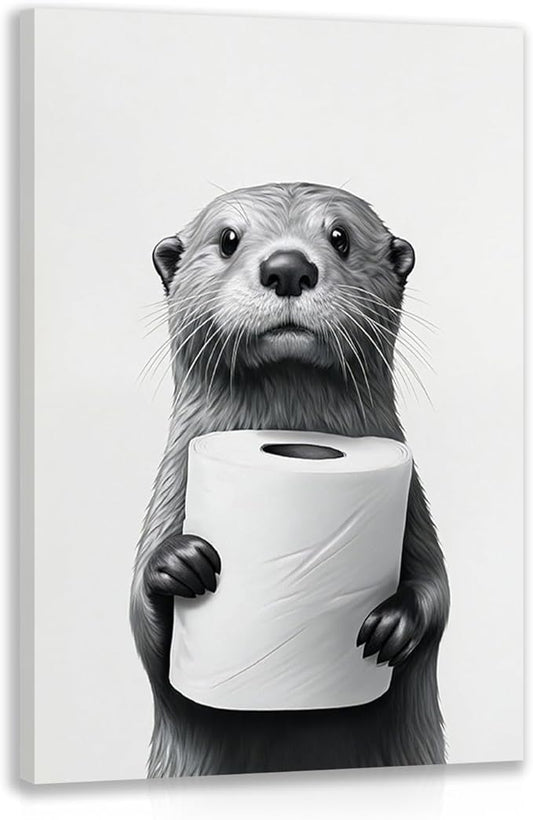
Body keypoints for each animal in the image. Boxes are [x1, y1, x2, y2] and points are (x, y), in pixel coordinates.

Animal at [130, 182, 449, 777]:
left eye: (340, 236)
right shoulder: (170, 491)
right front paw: (177, 563)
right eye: (228, 238)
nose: (288, 267)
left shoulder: (414, 505)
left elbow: (438, 592)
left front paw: (394, 624)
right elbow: (143, 629)